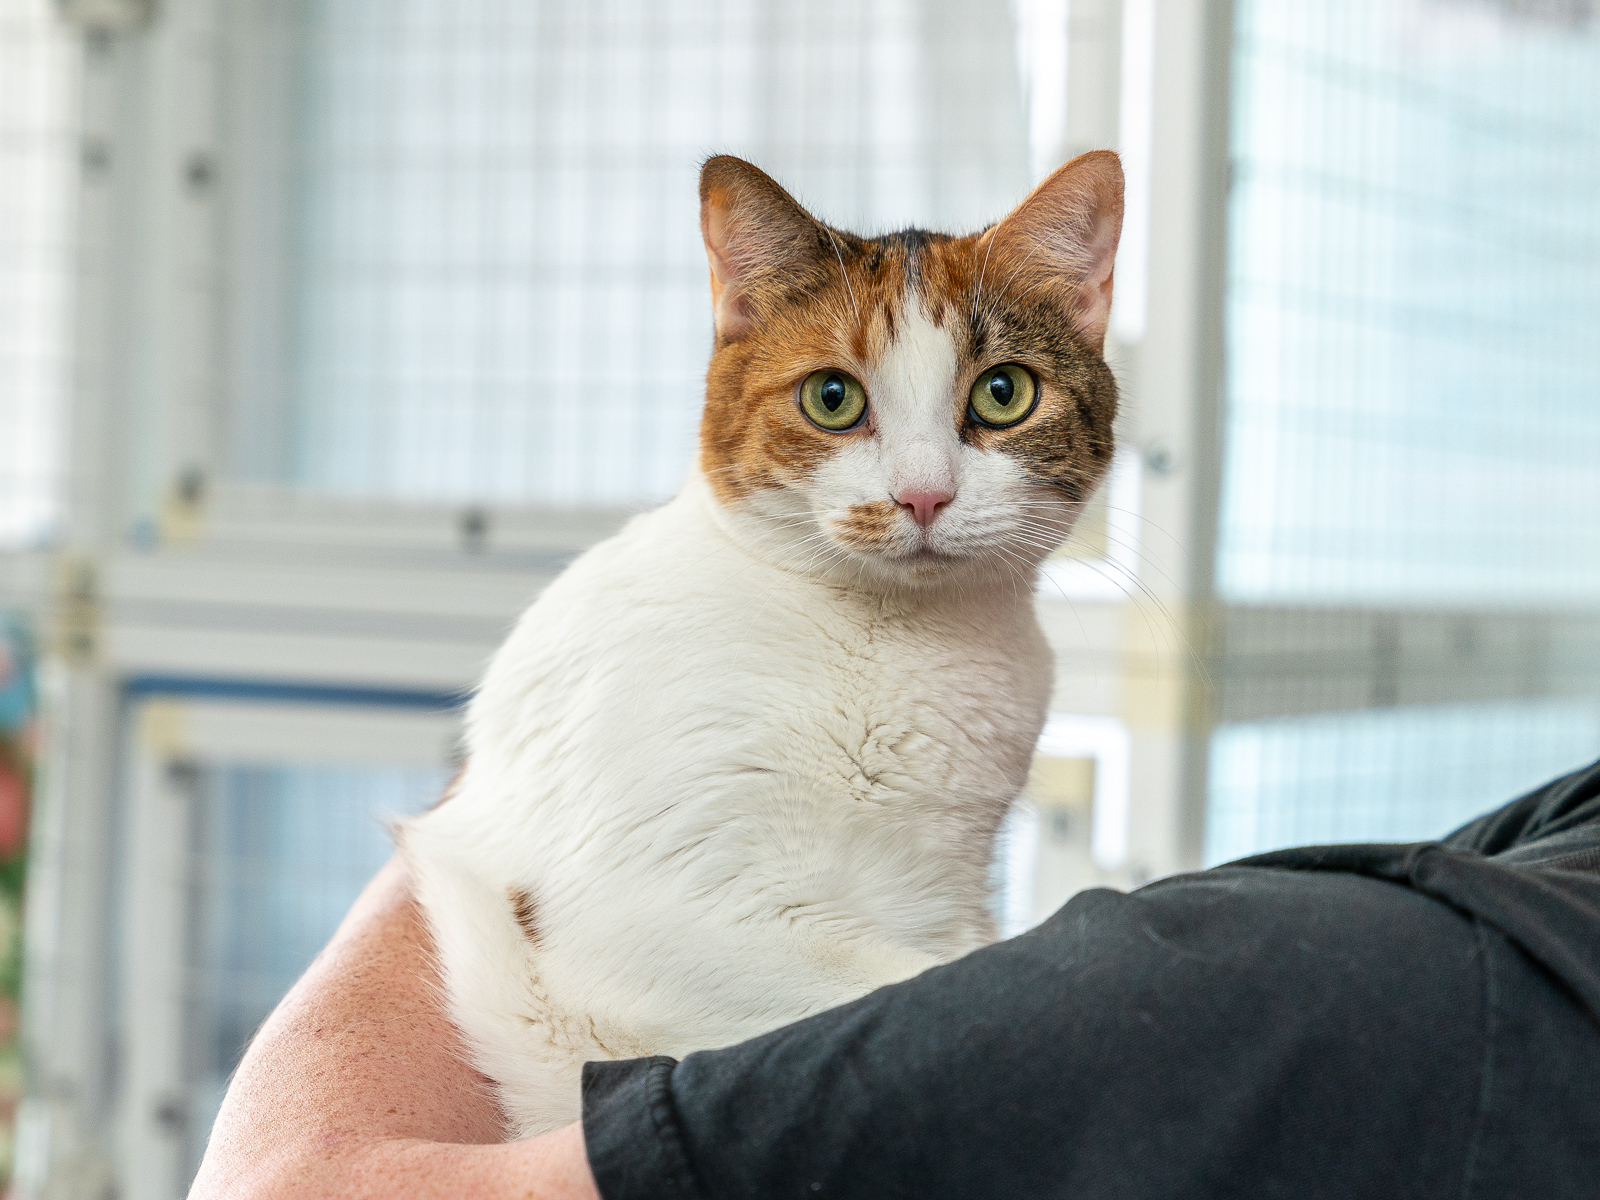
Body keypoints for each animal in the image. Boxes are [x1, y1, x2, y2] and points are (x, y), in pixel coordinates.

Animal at [400, 148, 1126, 1139]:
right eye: (833, 398)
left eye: (1003, 393)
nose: (924, 495)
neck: (901, 647)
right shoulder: (648, 923)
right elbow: (916, 977)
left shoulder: (951, 891)